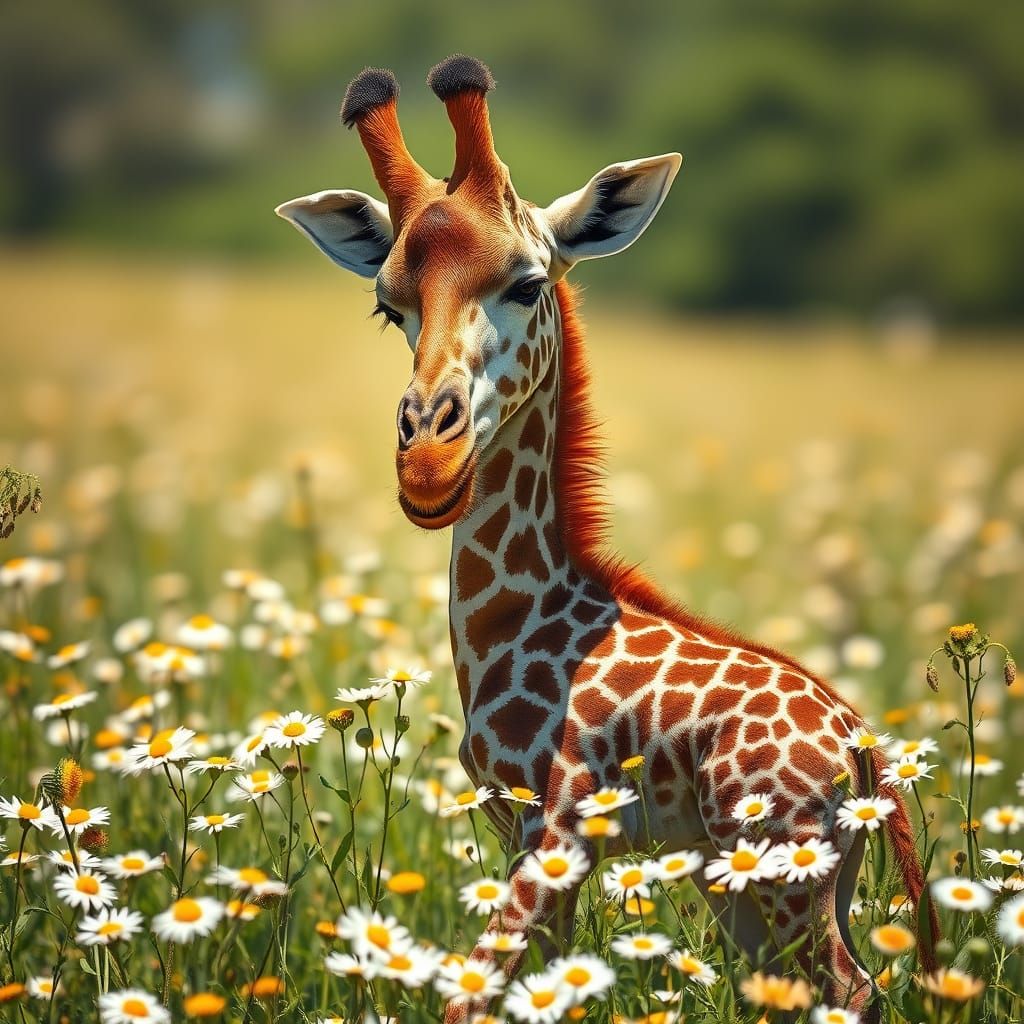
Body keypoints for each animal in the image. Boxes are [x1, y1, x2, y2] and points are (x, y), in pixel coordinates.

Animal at [278, 55, 937, 1020]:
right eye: (387, 307)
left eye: (527, 281)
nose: (428, 467)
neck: (517, 622)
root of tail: (862, 746)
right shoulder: (519, 832)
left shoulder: (555, 824)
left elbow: (470, 995)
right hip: (776, 875)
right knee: (830, 987)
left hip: (781, 862)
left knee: (850, 988)